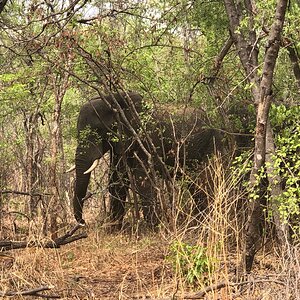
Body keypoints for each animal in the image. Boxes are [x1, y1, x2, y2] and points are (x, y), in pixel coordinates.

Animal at [70, 90, 224, 229]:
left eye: (98, 131)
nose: (83, 223)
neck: (114, 98)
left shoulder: (146, 138)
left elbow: (141, 179)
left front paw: (154, 228)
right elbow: (117, 179)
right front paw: (114, 228)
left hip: (210, 145)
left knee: (204, 179)